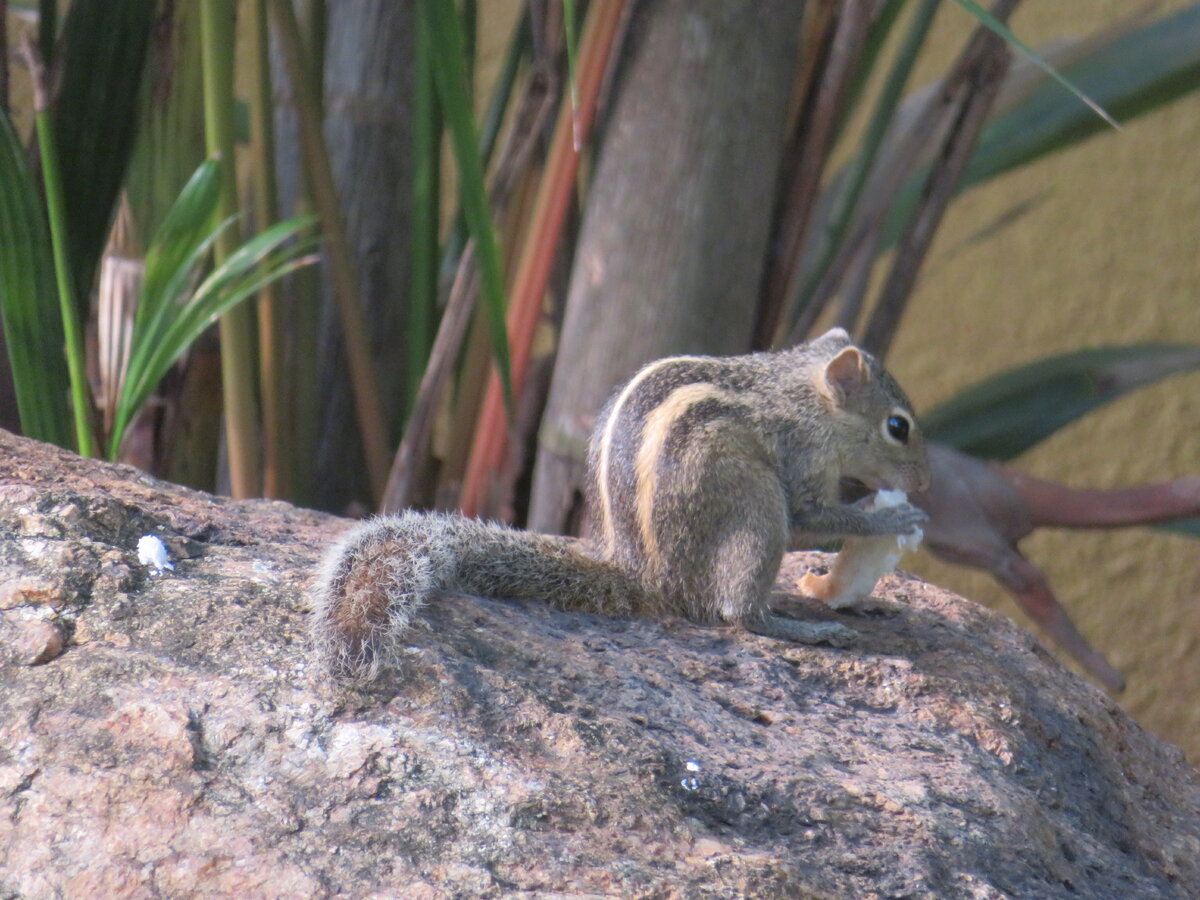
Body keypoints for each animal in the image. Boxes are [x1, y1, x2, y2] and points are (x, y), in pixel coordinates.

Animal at [309, 328, 926, 681]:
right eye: (898, 427)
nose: (923, 481)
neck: (801, 396)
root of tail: (644, 574)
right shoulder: (799, 462)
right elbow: (815, 516)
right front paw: (896, 515)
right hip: (756, 513)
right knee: (739, 613)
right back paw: (806, 630)